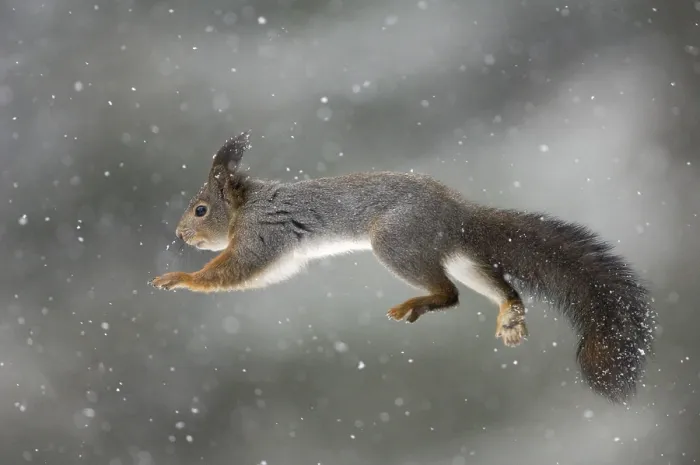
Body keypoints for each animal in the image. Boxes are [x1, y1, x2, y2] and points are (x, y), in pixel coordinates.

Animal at [150, 131, 656, 403]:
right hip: (457, 256)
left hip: (396, 243)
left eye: (200, 210)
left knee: (449, 294)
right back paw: (509, 314)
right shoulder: (283, 253)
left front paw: (180, 278)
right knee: (495, 286)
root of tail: (459, 214)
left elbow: (235, 270)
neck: (246, 206)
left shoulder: (263, 236)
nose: (180, 234)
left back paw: (418, 304)